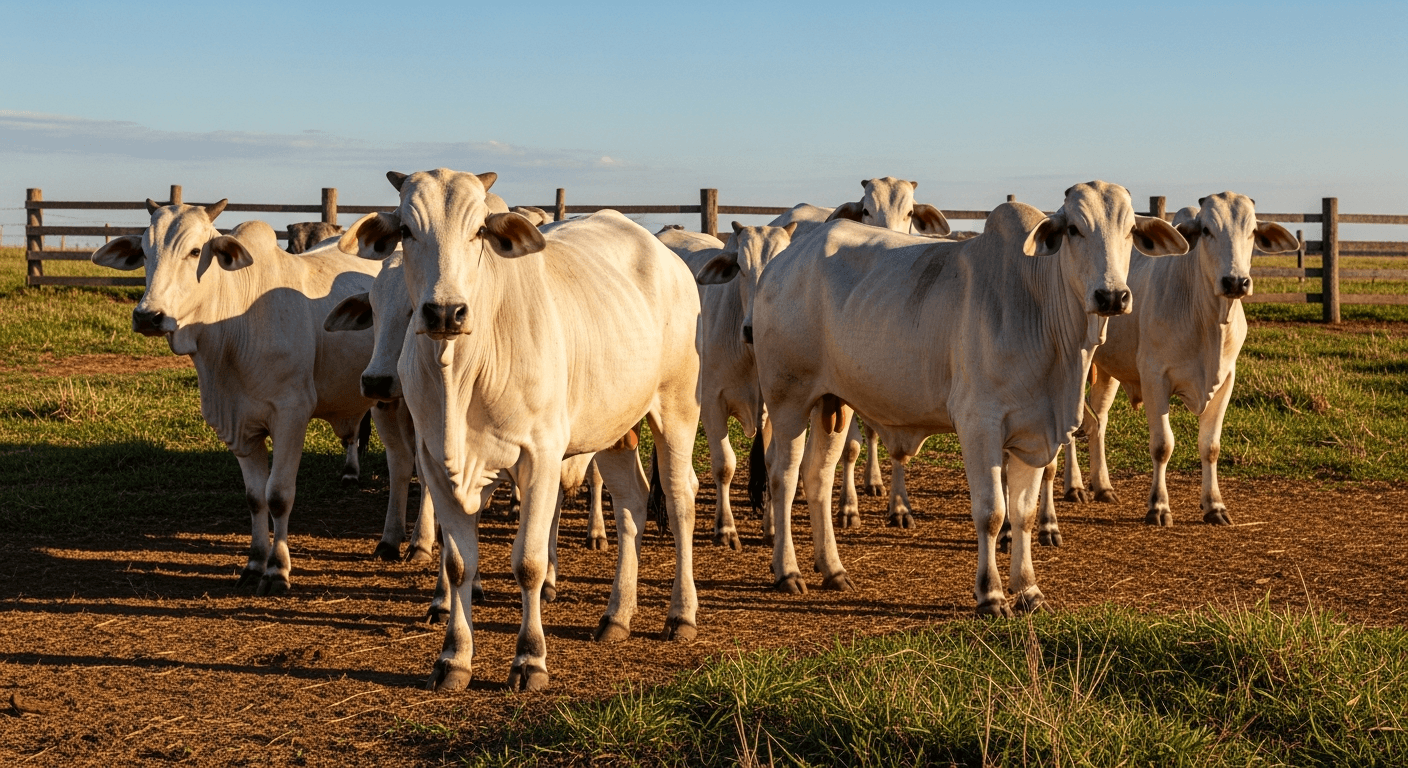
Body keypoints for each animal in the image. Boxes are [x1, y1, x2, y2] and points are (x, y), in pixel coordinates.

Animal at [90, 201, 408, 595]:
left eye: (195, 251)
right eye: (146, 254)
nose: (148, 316)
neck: (233, 327)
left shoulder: (291, 416)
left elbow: (279, 495)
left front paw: (277, 570)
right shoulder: (238, 425)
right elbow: (255, 498)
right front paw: (255, 563)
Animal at [338, 168, 702, 692]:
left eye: (479, 232)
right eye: (406, 229)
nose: (445, 312)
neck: (461, 373)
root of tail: (664, 253)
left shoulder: (541, 455)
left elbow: (528, 563)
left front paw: (530, 659)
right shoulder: (436, 462)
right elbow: (458, 563)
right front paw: (454, 657)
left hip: (677, 405)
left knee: (678, 498)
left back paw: (681, 615)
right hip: (614, 424)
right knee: (633, 501)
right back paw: (617, 616)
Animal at [750, 181, 1187, 615]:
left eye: (1130, 230)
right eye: (1075, 230)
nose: (1112, 296)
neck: (1039, 309)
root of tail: (782, 262)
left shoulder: (1034, 433)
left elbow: (1024, 514)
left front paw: (1029, 590)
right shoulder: (980, 425)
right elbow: (992, 512)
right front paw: (991, 594)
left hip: (833, 402)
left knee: (818, 478)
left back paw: (833, 569)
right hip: (788, 401)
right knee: (784, 478)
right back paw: (788, 571)